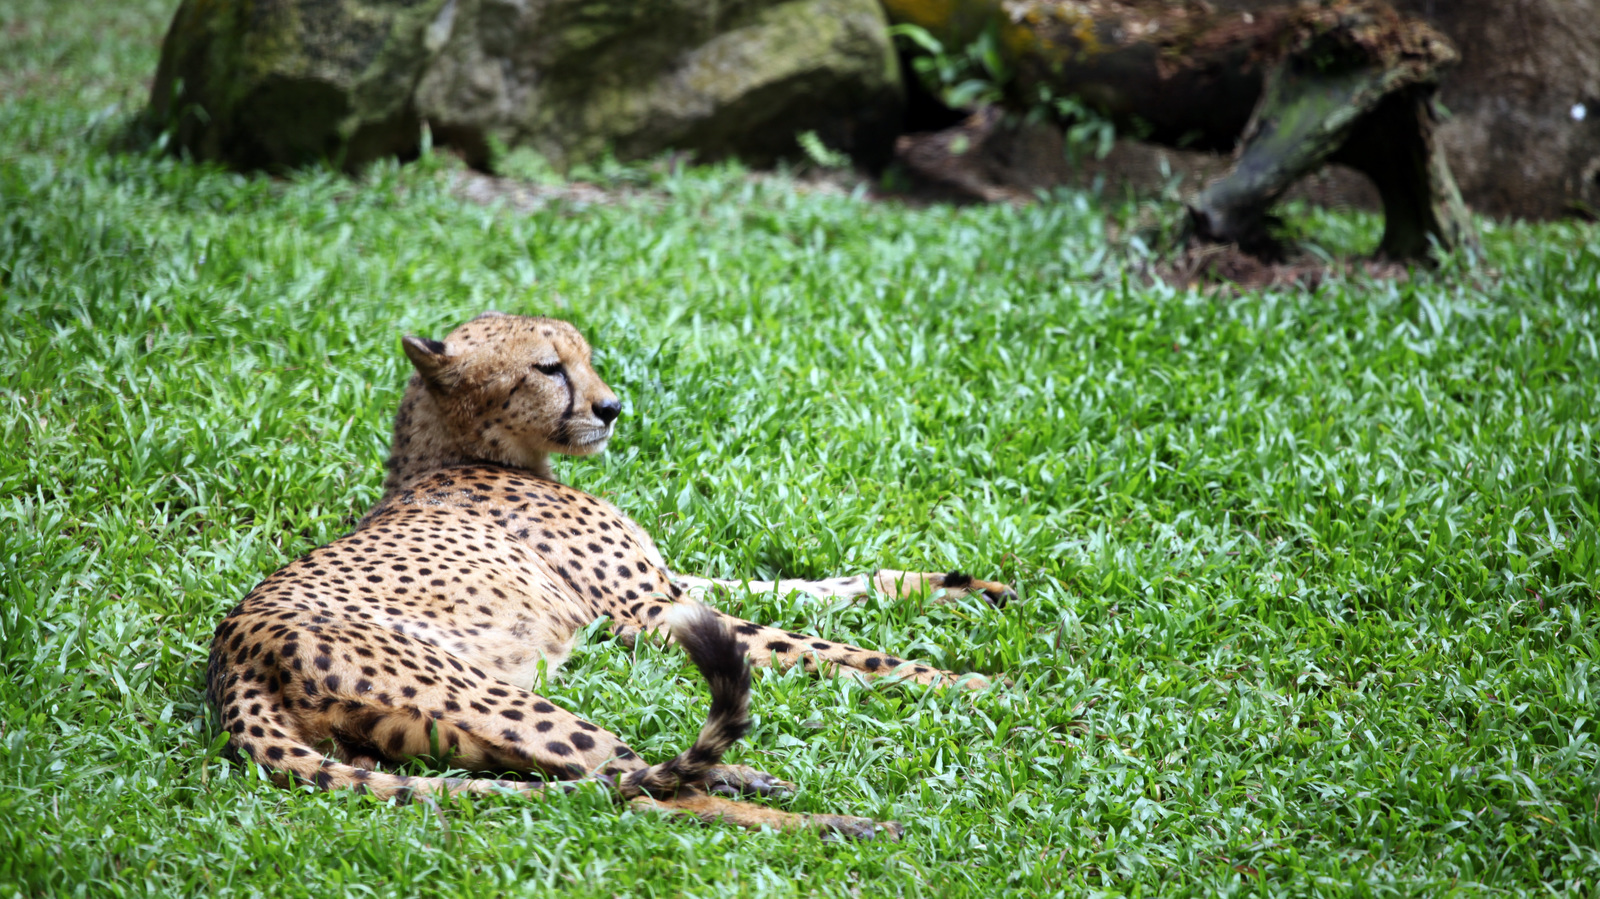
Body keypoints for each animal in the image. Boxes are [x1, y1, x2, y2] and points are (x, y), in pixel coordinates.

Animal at [209, 311, 1011, 838]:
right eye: (547, 367)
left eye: (586, 356)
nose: (612, 407)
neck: (468, 453)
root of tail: (233, 654)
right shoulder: (644, 612)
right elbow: (823, 644)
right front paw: (974, 683)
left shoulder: (671, 590)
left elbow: (811, 589)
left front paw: (963, 589)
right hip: (500, 699)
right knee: (637, 795)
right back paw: (840, 822)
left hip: (438, 736)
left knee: (619, 782)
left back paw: (755, 779)